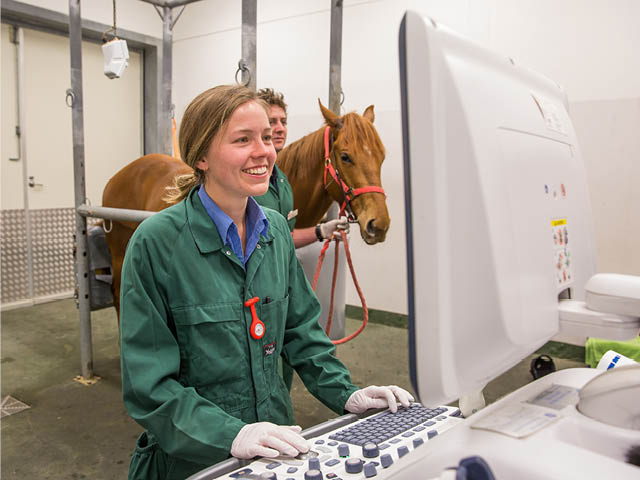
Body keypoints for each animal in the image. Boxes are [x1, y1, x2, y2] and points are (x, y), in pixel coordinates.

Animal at [104, 101, 390, 316]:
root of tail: (119, 175)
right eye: (345, 156)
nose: (379, 224)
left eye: (382, 156)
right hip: (119, 255)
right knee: (118, 297)